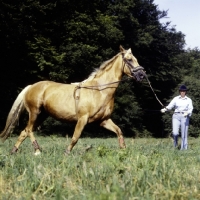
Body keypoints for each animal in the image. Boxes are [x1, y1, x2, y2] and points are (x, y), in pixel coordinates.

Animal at [0, 45, 145, 155]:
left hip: (42, 116)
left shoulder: (103, 120)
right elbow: (75, 137)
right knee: (29, 130)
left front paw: (123, 150)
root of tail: (31, 86)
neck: (99, 90)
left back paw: (14, 151)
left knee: (24, 131)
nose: (142, 74)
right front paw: (67, 153)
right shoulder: (82, 119)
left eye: (136, 59)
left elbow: (119, 131)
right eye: (129, 59)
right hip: (34, 112)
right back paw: (37, 150)